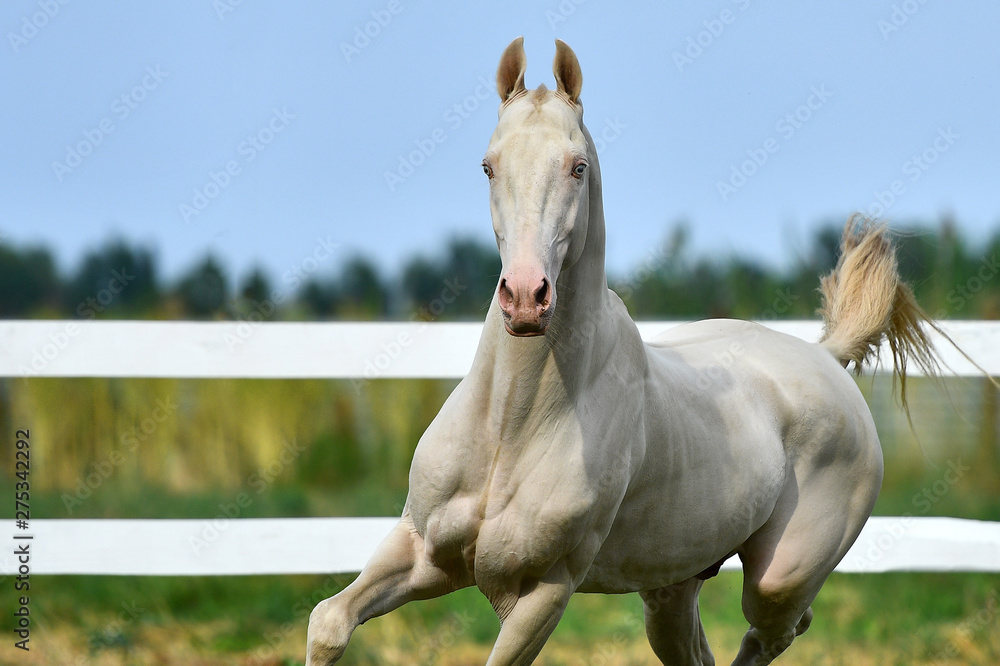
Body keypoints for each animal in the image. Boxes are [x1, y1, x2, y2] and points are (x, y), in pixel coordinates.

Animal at [307, 37, 948, 665]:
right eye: (488, 166)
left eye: (578, 167)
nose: (525, 298)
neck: (512, 426)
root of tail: (826, 359)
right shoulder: (422, 553)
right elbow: (328, 623)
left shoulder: (544, 592)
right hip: (672, 588)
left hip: (779, 580)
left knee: (777, 630)